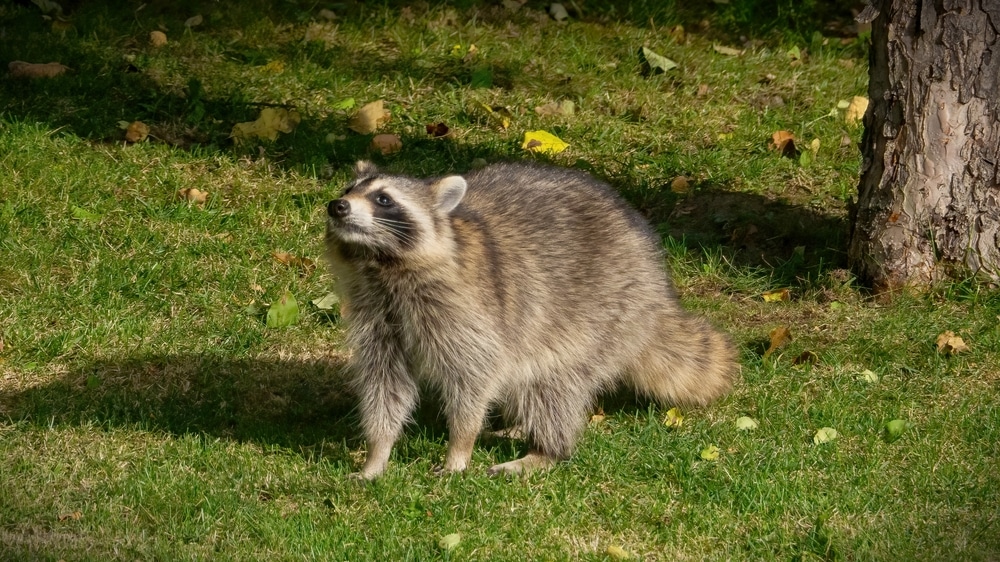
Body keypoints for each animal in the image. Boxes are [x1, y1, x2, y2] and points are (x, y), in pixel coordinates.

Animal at [326, 160, 736, 474]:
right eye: (348, 188)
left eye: (383, 199)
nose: (337, 206)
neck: (378, 264)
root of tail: (657, 290)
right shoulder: (376, 313)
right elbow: (385, 380)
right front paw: (378, 452)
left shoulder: (466, 309)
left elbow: (475, 373)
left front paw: (460, 445)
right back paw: (521, 427)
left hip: (603, 315)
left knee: (552, 385)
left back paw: (546, 450)